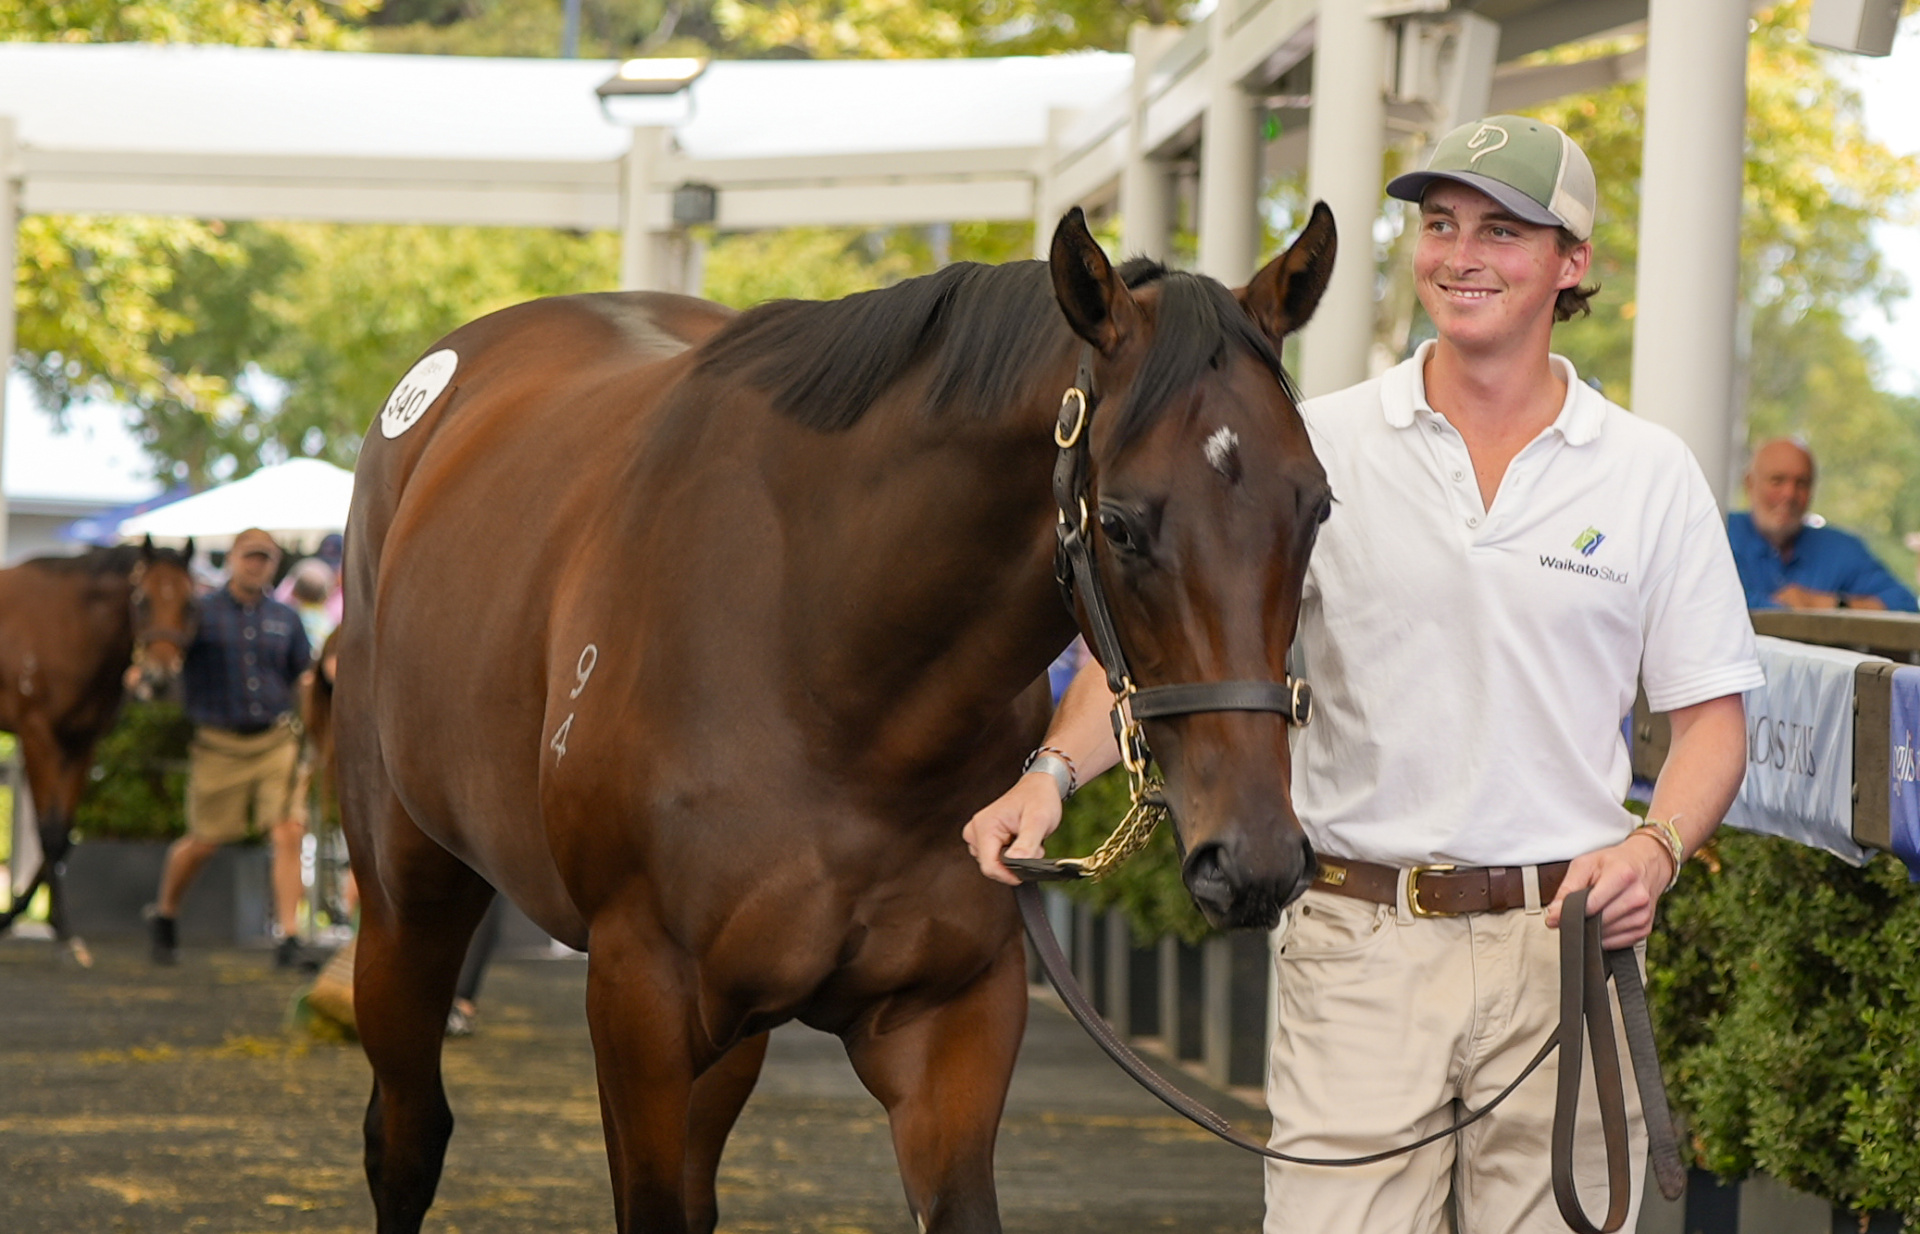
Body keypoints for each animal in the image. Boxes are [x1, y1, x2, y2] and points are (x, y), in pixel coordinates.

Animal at [0, 538, 199, 950]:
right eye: (143, 600)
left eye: (190, 603)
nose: (159, 677)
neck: (73, 625)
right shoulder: (37, 733)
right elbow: (49, 831)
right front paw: (61, 934)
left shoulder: (82, 742)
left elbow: (63, 834)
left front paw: (43, 923)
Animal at [336, 205, 1337, 1233]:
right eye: (1126, 524)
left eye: (1317, 506)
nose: (1254, 860)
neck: (828, 680)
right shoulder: (637, 997)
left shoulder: (950, 1020)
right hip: (409, 894)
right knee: (407, 1136)